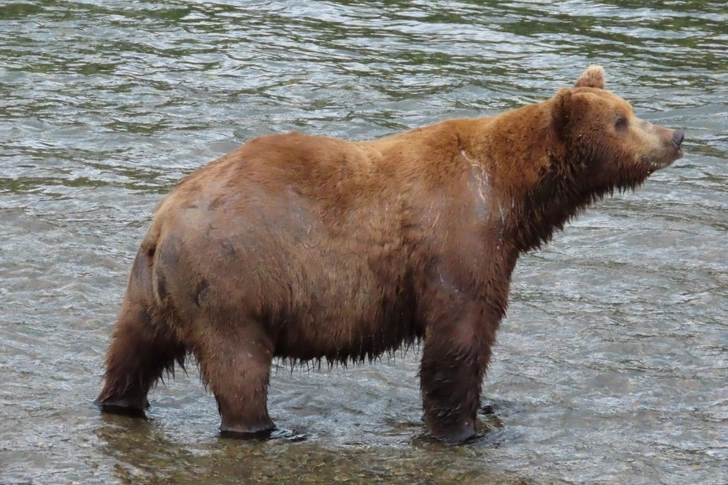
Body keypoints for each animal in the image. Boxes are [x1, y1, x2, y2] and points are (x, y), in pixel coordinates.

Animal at [95, 65, 684, 442]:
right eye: (622, 120)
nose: (675, 134)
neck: (510, 196)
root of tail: (165, 220)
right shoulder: (455, 239)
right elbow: (458, 339)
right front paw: (458, 429)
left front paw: (487, 408)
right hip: (231, 285)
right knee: (239, 369)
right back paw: (265, 429)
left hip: (151, 287)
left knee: (132, 349)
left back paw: (118, 403)